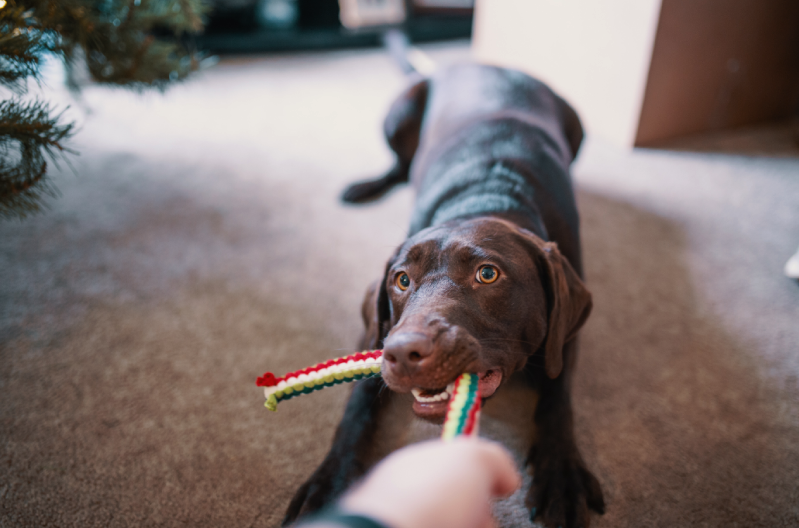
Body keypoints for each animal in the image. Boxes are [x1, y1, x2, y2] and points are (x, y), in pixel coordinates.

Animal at [284, 64, 604, 524]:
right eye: (402, 280)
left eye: (487, 274)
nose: (404, 353)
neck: (487, 196)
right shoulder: (376, 333)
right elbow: (356, 406)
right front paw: (329, 481)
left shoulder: (565, 335)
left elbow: (557, 398)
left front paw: (561, 474)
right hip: (399, 111)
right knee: (400, 166)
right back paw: (364, 186)